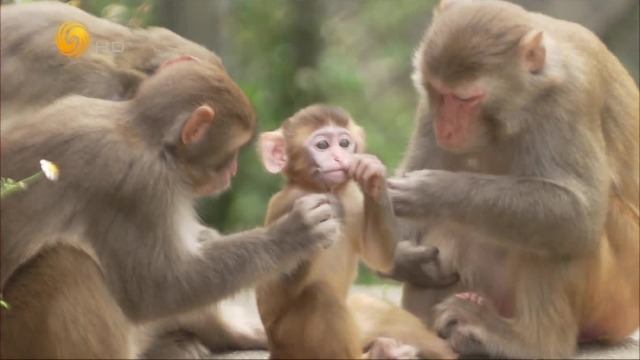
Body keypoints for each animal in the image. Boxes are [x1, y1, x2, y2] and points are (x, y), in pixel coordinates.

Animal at [0, 59, 342, 358]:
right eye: (231, 152)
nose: (232, 171)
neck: (145, 135)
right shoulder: (139, 184)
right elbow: (158, 288)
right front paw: (292, 234)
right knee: (65, 262)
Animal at [254, 105, 456, 360]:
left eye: (344, 143)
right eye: (322, 145)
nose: (339, 157)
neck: (321, 189)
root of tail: (274, 349)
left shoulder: (353, 201)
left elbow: (379, 255)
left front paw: (373, 174)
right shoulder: (287, 204)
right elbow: (274, 281)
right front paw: (308, 227)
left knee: (374, 309)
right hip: (290, 342)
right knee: (319, 296)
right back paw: (380, 353)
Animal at [382, 0, 636, 358]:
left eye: (465, 99)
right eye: (437, 92)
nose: (445, 128)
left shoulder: (572, 96)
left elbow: (579, 215)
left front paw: (431, 192)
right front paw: (402, 256)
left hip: (617, 300)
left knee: (561, 233)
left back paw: (529, 343)